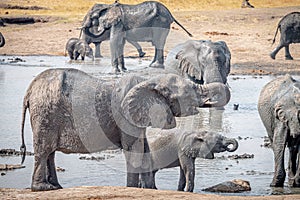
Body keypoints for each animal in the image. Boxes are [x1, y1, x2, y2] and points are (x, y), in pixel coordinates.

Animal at [19, 68, 230, 191]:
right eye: (190, 92)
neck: (149, 81)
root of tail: (29, 91)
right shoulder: (124, 116)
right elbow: (134, 150)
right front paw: (133, 189)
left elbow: (144, 148)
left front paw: (150, 190)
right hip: (45, 112)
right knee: (44, 149)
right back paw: (43, 188)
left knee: (50, 152)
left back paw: (56, 186)